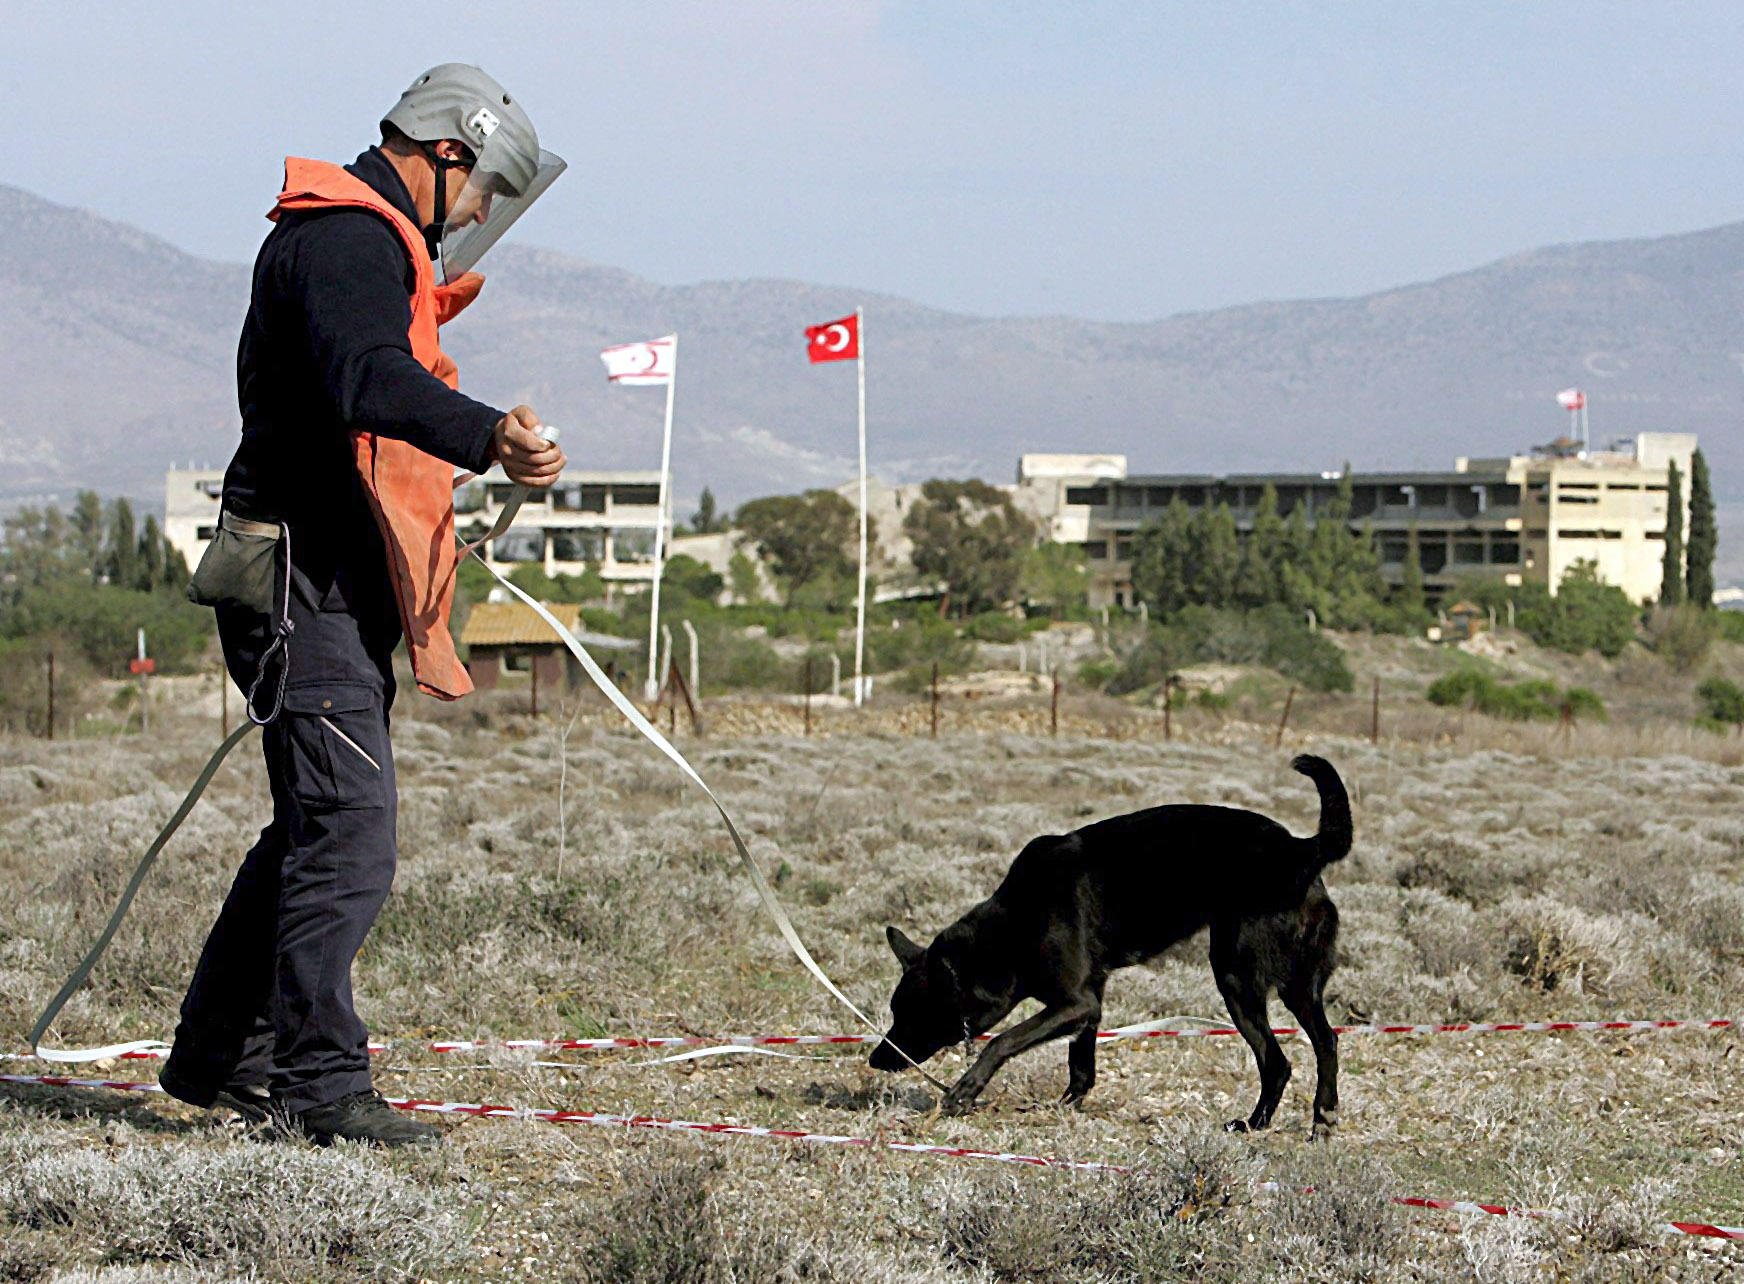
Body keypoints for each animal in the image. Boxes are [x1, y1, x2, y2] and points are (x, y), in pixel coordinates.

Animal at [868, 753, 1346, 1130]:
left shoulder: (1075, 1002)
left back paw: (1255, 1124)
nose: (876, 1058)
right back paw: (1319, 1118)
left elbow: (1003, 1040)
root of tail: (1300, 850)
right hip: (1298, 985)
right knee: (1325, 1041)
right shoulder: (1089, 1001)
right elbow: (1081, 1066)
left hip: (1236, 977)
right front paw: (1062, 1108)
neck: (1014, 924)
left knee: (1277, 1061)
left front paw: (965, 1089)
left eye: (908, 1014)